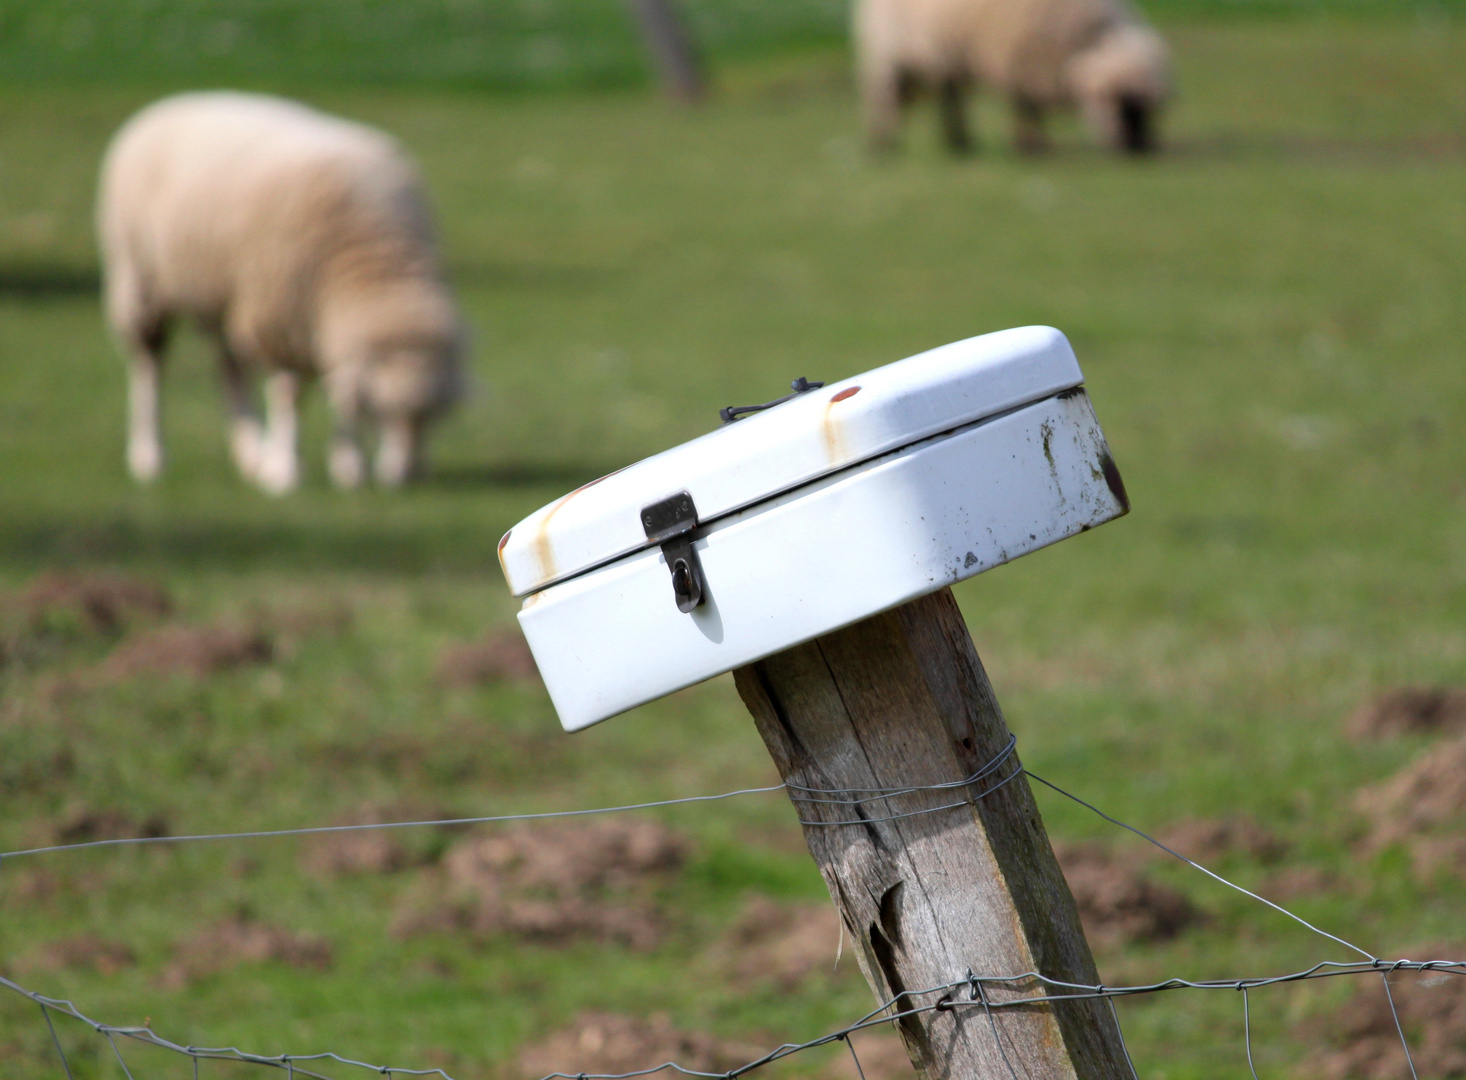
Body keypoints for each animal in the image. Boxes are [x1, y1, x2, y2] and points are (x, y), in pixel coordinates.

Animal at [98, 90, 463, 489]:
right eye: (382, 411)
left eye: (435, 416)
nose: (409, 476)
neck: (373, 260)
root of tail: (175, 100)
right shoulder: (279, 319)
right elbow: (289, 395)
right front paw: (285, 469)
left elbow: (340, 396)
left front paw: (347, 465)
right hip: (140, 280)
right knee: (149, 368)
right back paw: (150, 454)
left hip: (224, 297)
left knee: (230, 370)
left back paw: (250, 453)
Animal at [856, 0, 1172, 153]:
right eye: (1116, 98)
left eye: (1152, 107)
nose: (1137, 148)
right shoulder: (1026, 60)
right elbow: (1028, 106)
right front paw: (1031, 145)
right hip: (886, 50)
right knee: (883, 96)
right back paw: (882, 144)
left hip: (943, 57)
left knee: (950, 96)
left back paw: (959, 142)